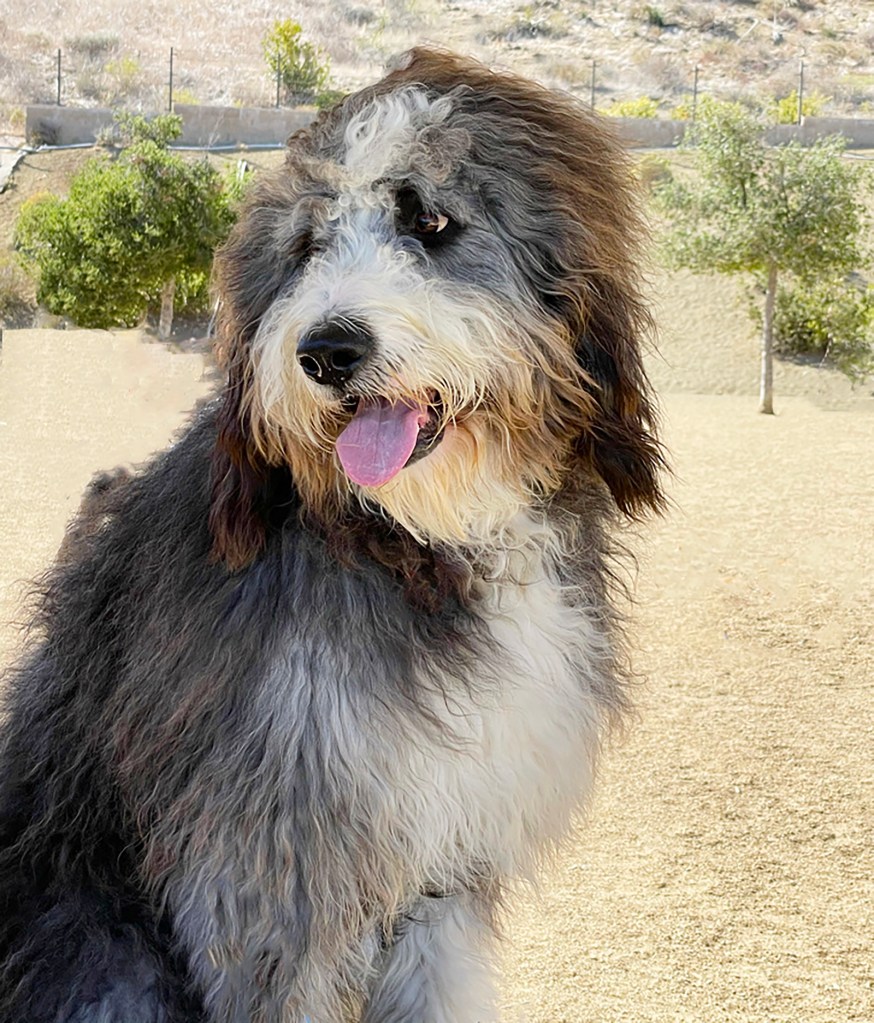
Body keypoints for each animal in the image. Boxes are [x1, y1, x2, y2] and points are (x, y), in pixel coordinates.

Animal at [0, 48, 663, 1023]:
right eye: (308, 246)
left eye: (429, 219)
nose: (326, 350)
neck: (414, 542)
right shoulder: (272, 869)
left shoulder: (439, 860)